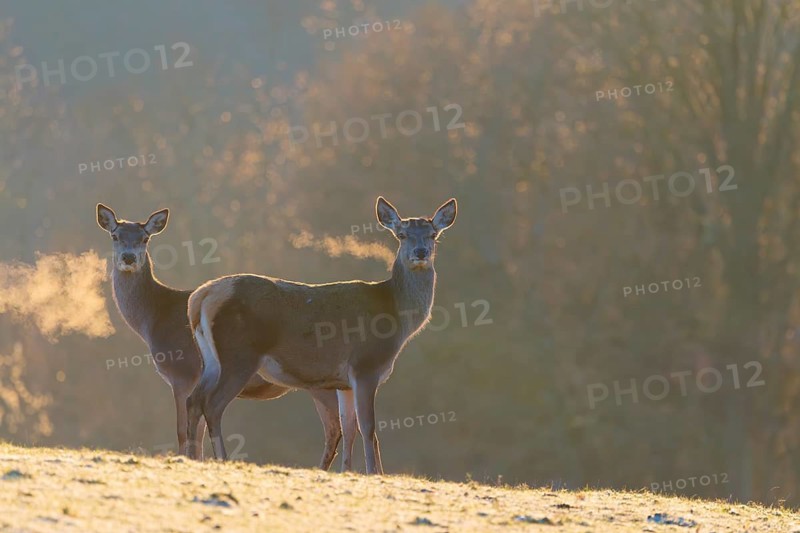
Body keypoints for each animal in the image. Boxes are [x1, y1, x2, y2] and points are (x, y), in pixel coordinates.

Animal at [96, 204, 349, 469]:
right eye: (115, 236)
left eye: (145, 238)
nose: (128, 257)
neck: (153, 320)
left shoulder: (183, 374)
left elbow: (183, 431)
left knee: (335, 427)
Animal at [185, 196, 457, 474]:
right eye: (402, 235)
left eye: (433, 234)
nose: (421, 252)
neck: (396, 318)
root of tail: (200, 296)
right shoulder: (365, 366)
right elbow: (368, 427)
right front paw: (374, 473)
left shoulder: (344, 381)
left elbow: (349, 427)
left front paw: (349, 471)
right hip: (239, 355)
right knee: (212, 403)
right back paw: (222, 458)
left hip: (211, 360)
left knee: (194, 399)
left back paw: (192, 457)